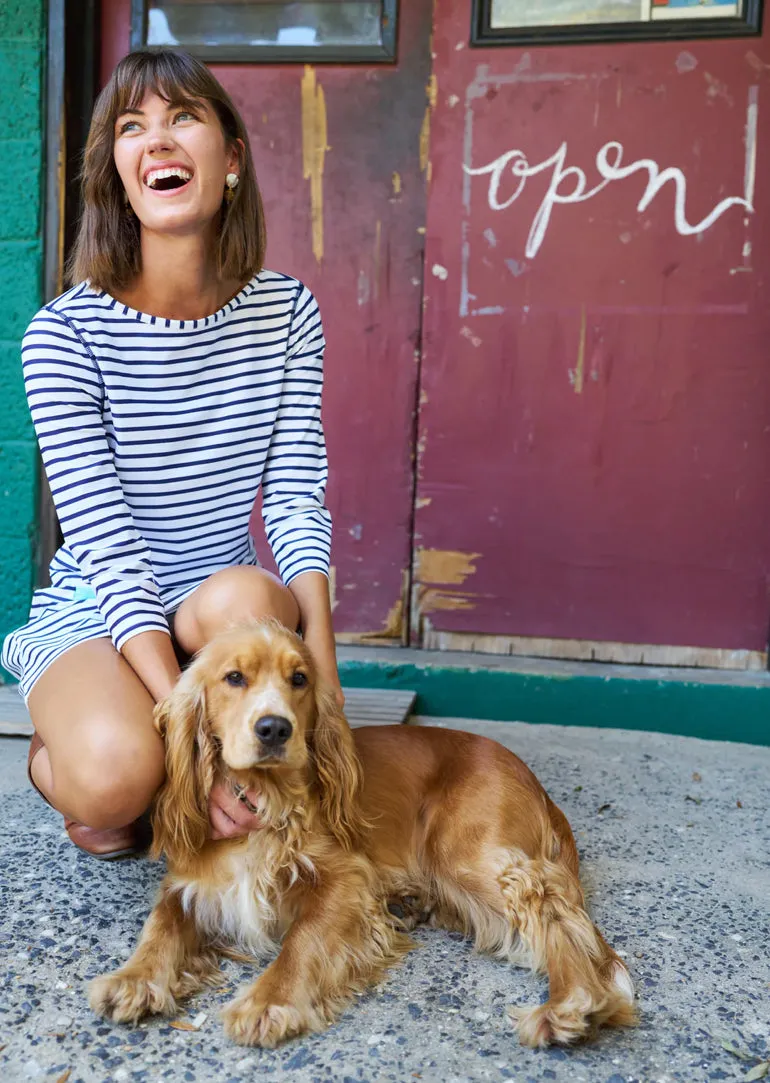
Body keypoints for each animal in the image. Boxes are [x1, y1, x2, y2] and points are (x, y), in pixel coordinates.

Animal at [87, 623, 636, 1044]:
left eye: (299, 678)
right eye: (234, 678)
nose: (274, 729)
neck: (268, 800)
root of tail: (533, 779)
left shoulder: (346, 879)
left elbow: (301, 939)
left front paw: (269, 1001)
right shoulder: (191, 883)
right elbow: (160, 926)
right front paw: (134, 978)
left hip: (463, 852)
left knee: (551, 909)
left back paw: (572, 1004)